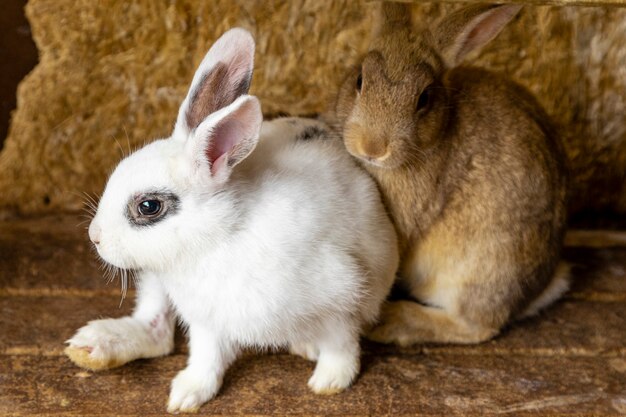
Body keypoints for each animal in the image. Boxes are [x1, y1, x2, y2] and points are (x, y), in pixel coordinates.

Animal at [63, 28, 394, 412]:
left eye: (148, 206)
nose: (95, 236)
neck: (219, 239)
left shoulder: (342, 298)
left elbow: (341, 344)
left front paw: (331, 381)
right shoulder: (207, 319)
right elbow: (205, 359)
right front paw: (186, 395)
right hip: (155, 279)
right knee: (156, 330)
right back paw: (93, 346)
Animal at [326, 3, 572, 344]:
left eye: (424, 99)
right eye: (359, 80)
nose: (372, 147)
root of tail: (541, 287)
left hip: (475, 272)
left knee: (476, 326)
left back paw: (394, 322)